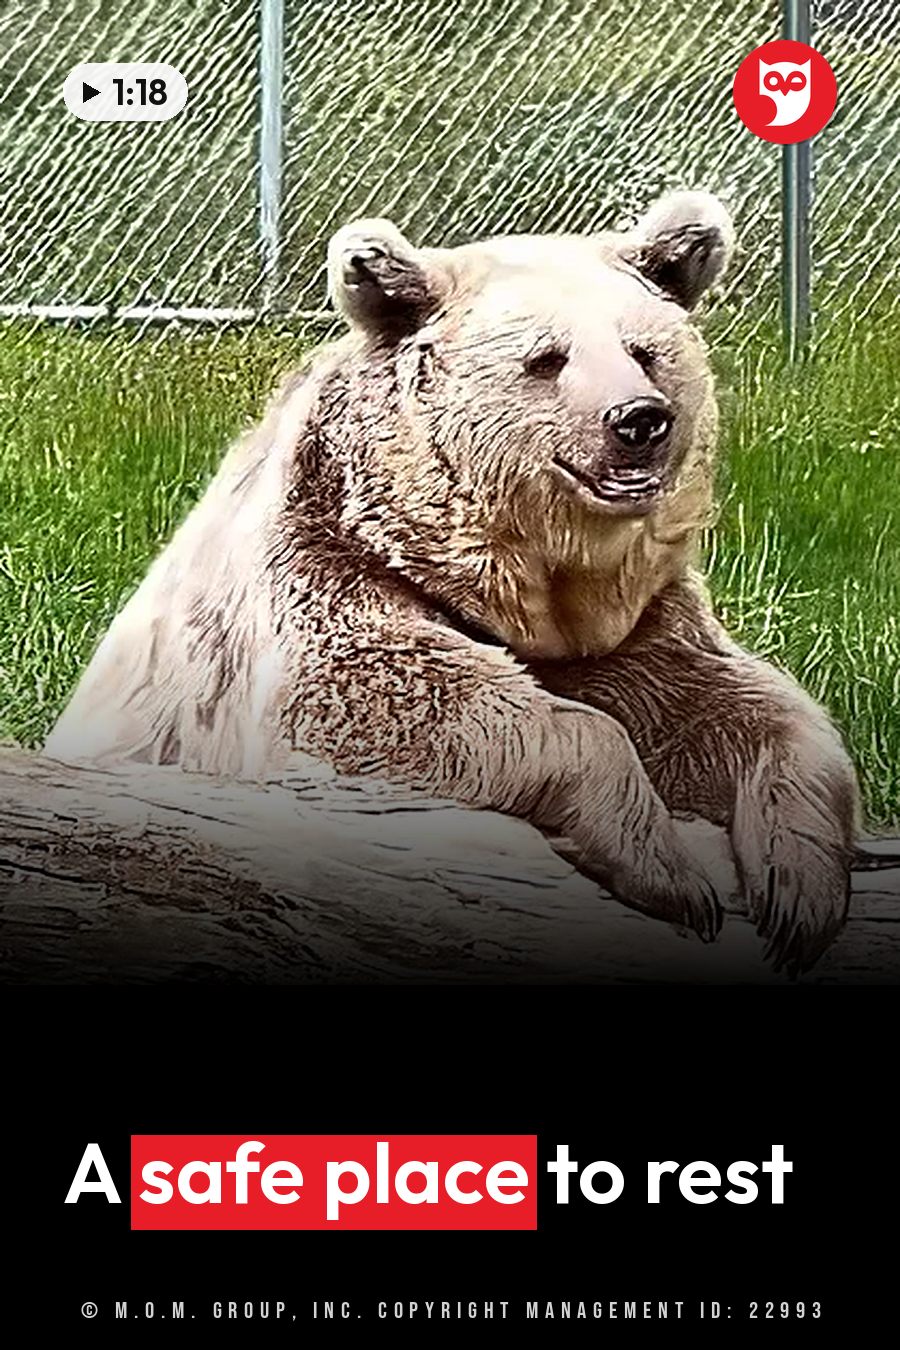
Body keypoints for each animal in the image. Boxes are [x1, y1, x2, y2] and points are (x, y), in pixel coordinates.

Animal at [45, 192, 858, 975]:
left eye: (645, 352)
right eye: (547, 359)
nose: (638, 420)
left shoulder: (632, 634)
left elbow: (750, 711)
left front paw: (799, 897)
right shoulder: (323, 566)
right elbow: (388, 702)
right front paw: (670, 872)